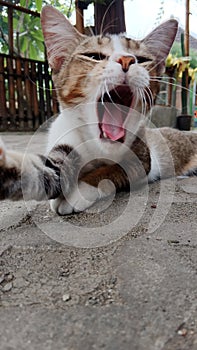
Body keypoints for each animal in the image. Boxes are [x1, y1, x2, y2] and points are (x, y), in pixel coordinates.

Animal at [0, 5, 197, 215]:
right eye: (94, 56)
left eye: (142, 59)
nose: (127, 59)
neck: (98, 145)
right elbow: (50, 169)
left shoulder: (142, 158)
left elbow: (112, 170)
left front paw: (80, 189)